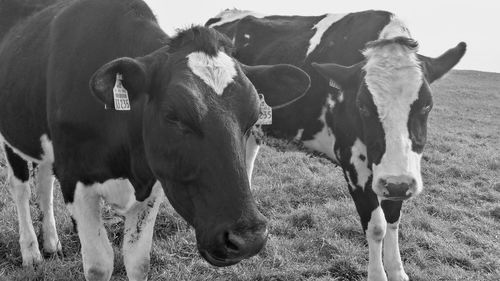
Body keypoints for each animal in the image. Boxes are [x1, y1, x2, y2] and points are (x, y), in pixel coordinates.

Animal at [0, 1, 310, 278]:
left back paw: (52, 243)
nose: (247, 239)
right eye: (173, 115)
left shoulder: (155, 183)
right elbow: (99, 265)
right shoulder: (76, 179)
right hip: (12, 135)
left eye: (254, 116)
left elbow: (138, 263)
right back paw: (31, 252)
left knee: (43, 181)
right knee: (20, 188)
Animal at [206, 9, 464, 280]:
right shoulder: (354, 165)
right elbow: (376, 226)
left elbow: (393, 218)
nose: (397, 183)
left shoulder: (398, 174)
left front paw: (397, 270)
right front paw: (378, 274)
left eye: (426, 105)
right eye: (362, 105)